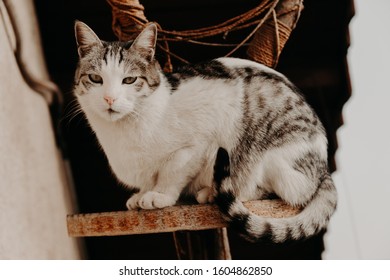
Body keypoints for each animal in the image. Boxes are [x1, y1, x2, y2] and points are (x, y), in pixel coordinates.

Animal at [74, 20, 338, 242]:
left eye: (129, 80)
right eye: (95, 78)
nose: (109, 98)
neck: (123, 131)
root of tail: (324, 169)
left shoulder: (198, 144)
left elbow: (172, 172)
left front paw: (159, 195)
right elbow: (150, 179)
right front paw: (143, 194)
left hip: (271, 156)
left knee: (279, 190)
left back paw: (214, 192)